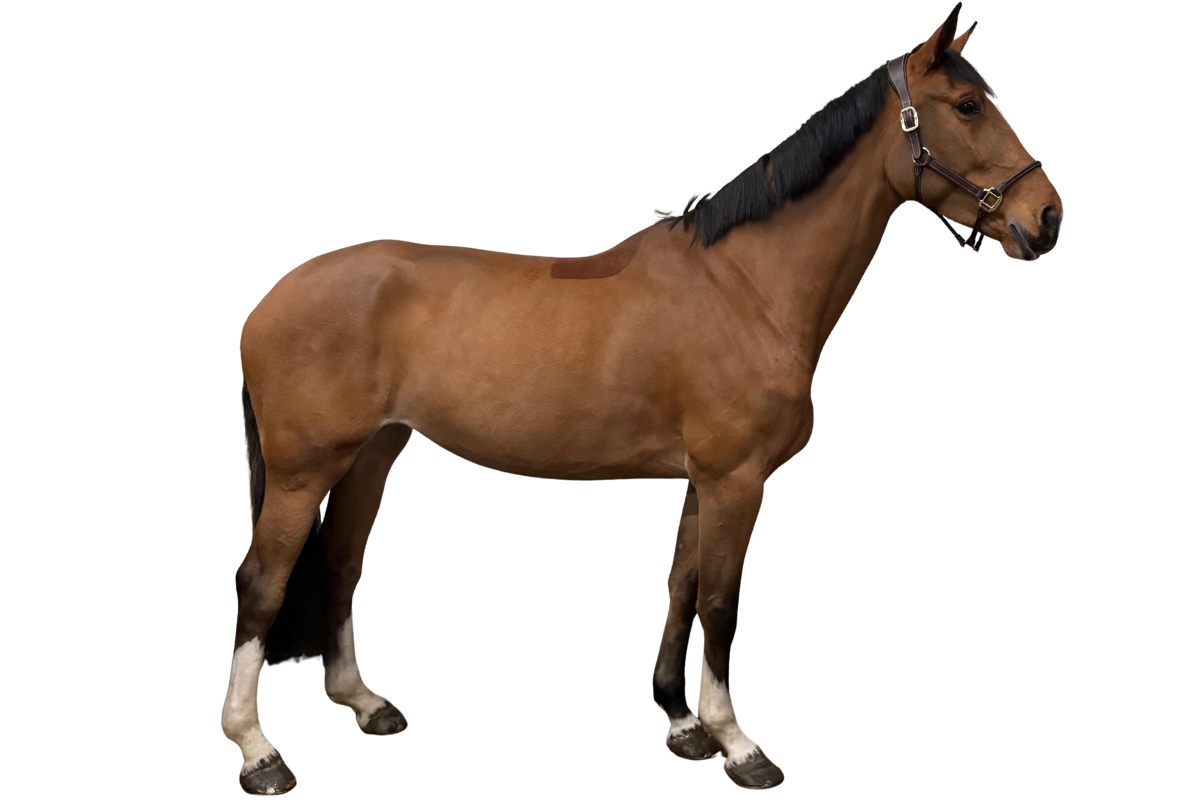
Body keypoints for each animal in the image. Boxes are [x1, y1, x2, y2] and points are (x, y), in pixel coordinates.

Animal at [221, 2, 1062, 792]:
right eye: (966, 106)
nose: (1047, 217)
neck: (746, 286)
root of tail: (269, 299)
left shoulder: (703, 480)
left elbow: (679, 589)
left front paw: (682, 723)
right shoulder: (737, 482)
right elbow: (719, 604)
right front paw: (738, 744)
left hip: (372, 455)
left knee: (340, 563)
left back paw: (364, 703)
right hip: (302, 472)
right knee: (262, 584)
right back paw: (258, 752)